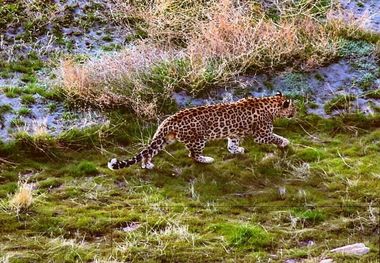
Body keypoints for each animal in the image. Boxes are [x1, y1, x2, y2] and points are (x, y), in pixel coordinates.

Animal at [108, 92, 296, 170]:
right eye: (292, 107)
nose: (296, 112)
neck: (270, 104)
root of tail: (169, 120)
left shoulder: (234, 133)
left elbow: (232, 144)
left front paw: (236, 150)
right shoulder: (262, 135)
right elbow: (275, 137)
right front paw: (285, 142)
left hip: (164, 139)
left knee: (149, 152)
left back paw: (147, 165)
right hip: (198, 139)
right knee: (192, 154)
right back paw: (207, 159)